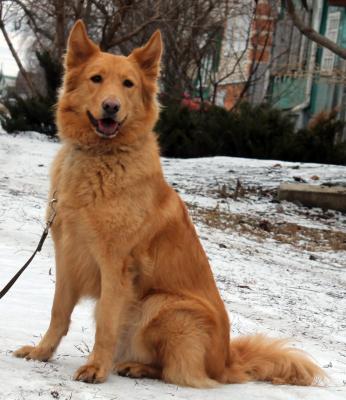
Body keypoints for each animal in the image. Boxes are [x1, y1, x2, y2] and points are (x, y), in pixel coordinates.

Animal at [14, 21, 324, 388]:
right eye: (96, 78)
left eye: (128, 84)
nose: (111, 106)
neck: (99, 158)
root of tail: (227, 360)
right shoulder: (67, 254)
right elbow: (58, 312)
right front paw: (42, 352)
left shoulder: (116, 266)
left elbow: (106, 324)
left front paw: (96, 368)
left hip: (162, 304)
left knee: (179, 372)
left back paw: (135, 367)